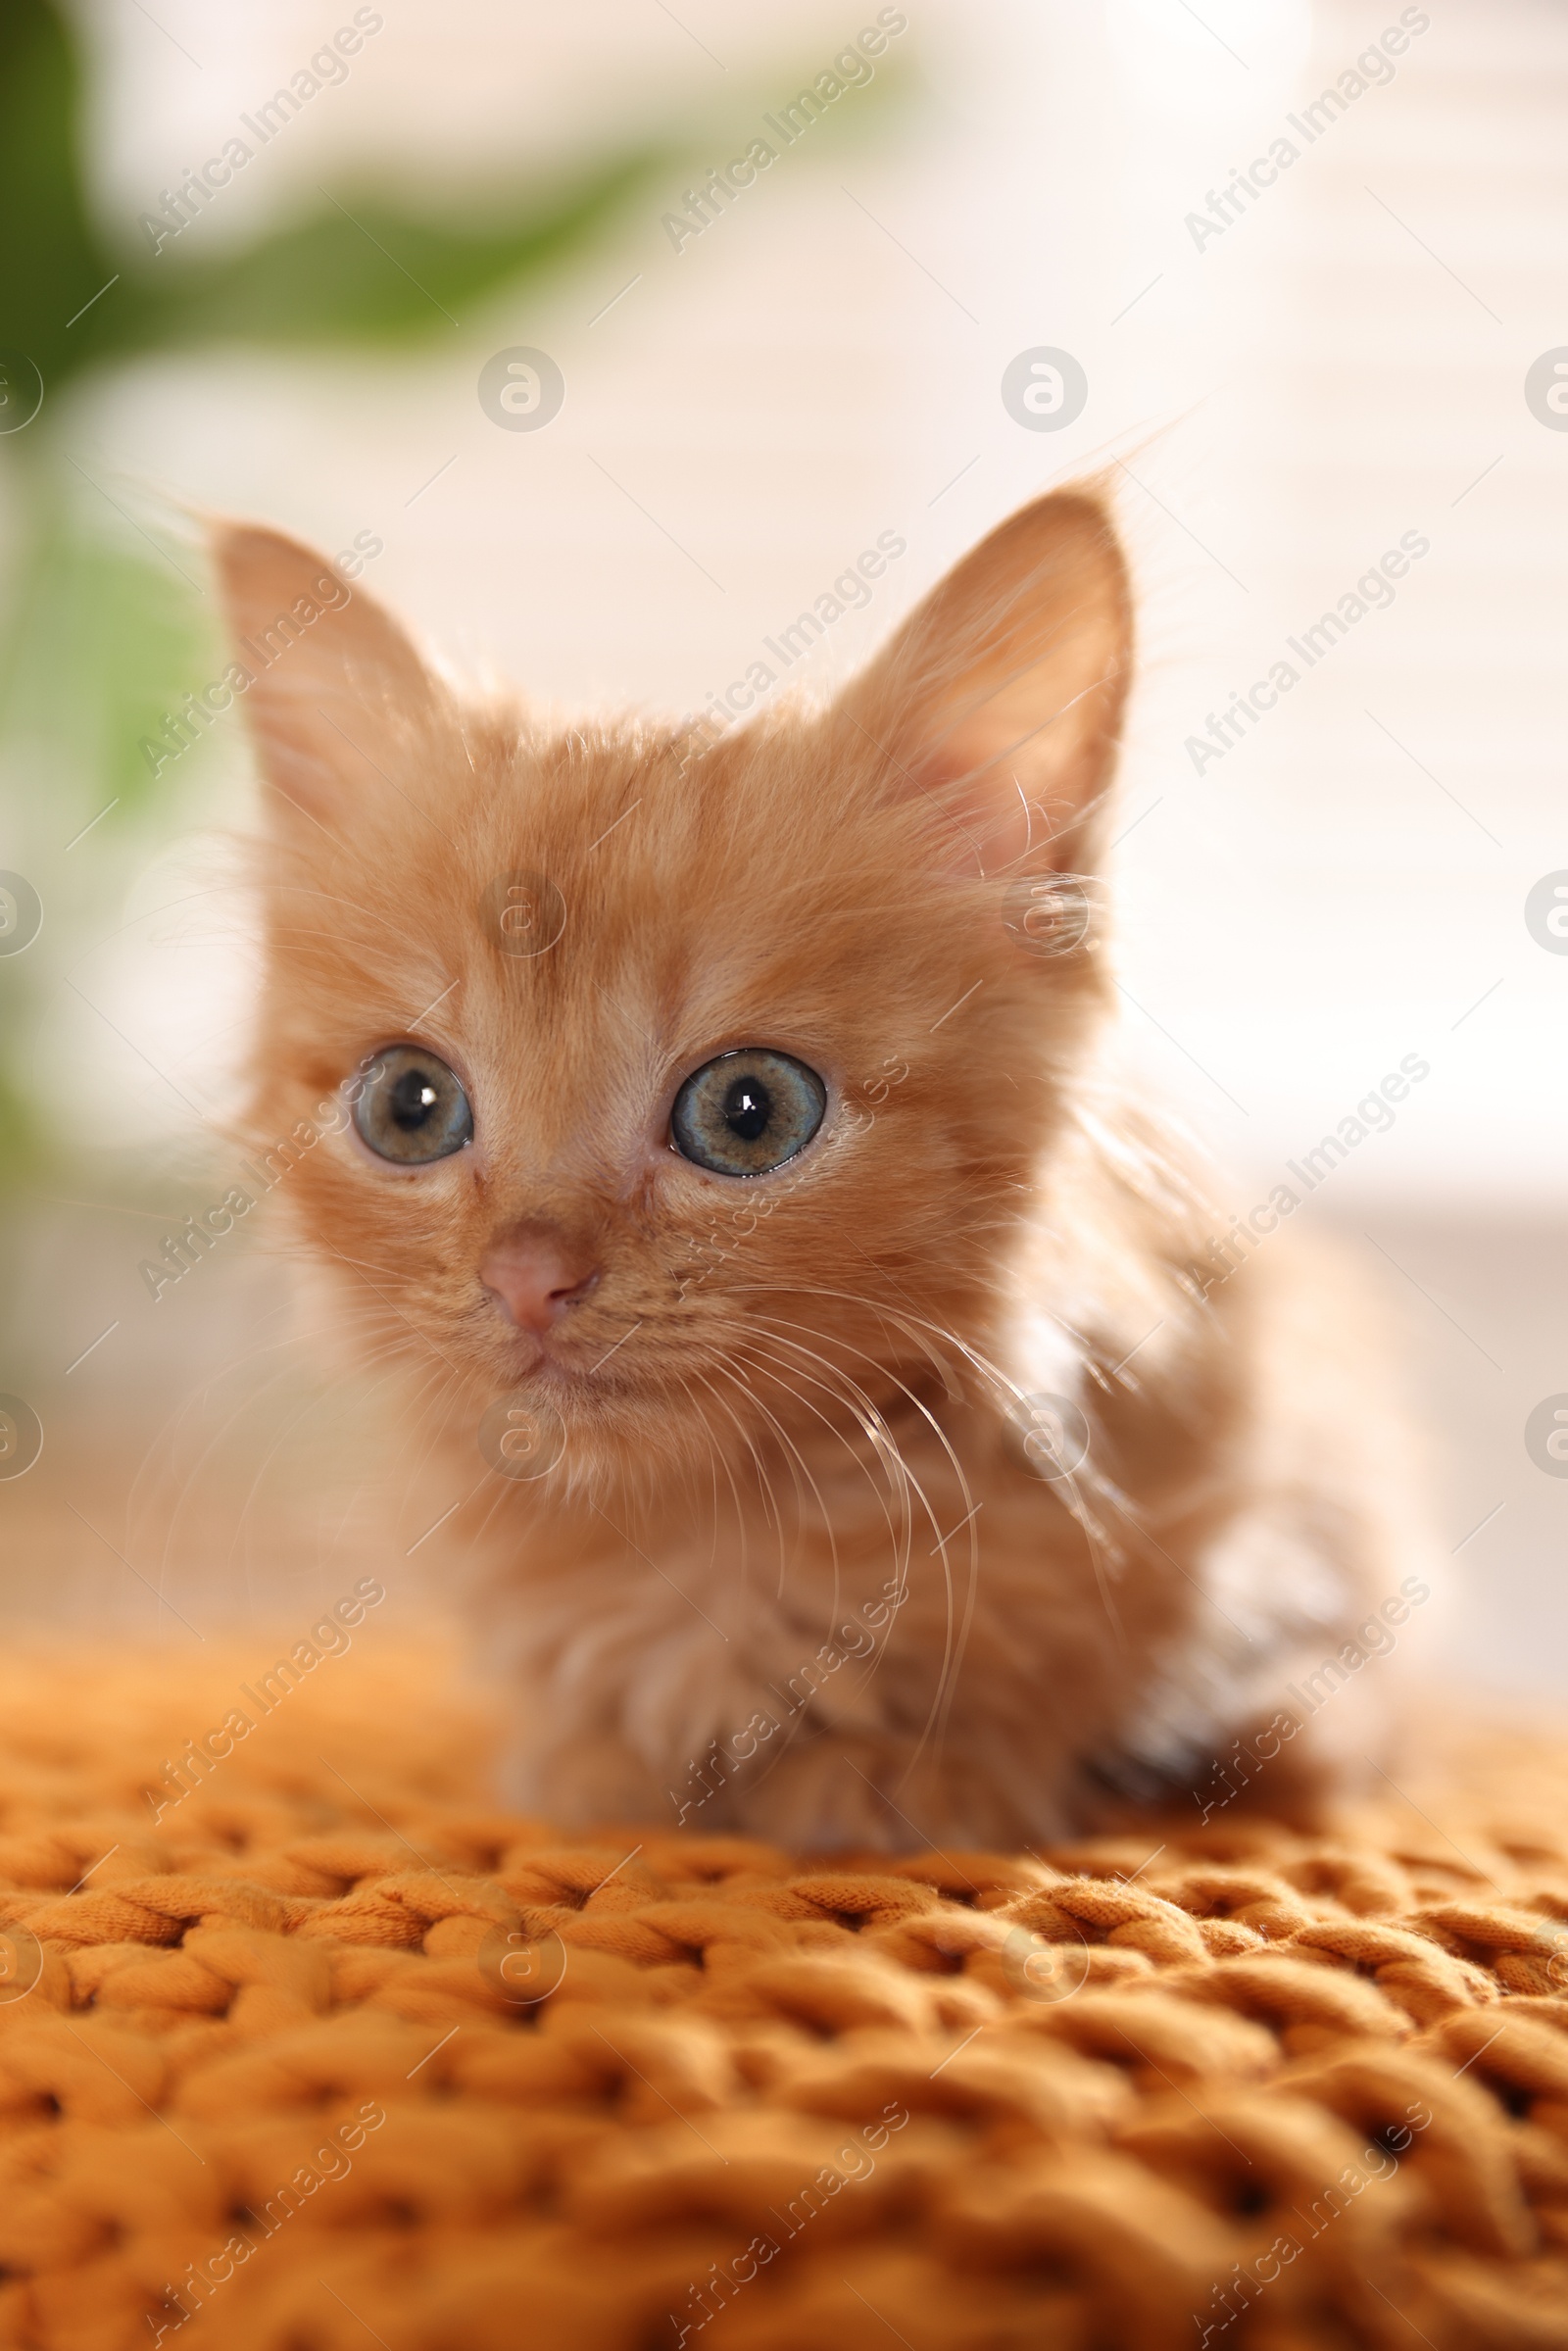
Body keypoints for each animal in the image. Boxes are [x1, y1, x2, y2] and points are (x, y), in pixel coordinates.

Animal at [211, 496, 1419, 1842]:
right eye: (409, 1107)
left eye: (749, 1113)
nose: (528, 1275)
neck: (713, 1527)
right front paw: (600, 1762)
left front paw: (912, 1776)